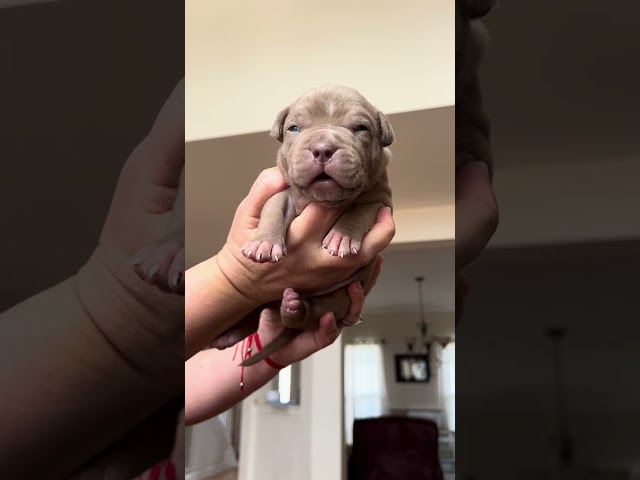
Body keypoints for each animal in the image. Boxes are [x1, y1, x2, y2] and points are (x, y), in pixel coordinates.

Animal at [232, 84, 396, 366]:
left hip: (336, 300)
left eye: (361, 128)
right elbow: (273, 211)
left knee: (308, 313)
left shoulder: (380, 200)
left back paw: (292, 308)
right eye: (294, 128)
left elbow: (359, 211)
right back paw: (229, 333)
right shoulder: (282, 192)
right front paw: (264, 244)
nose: (323, 148)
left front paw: (341, 238)